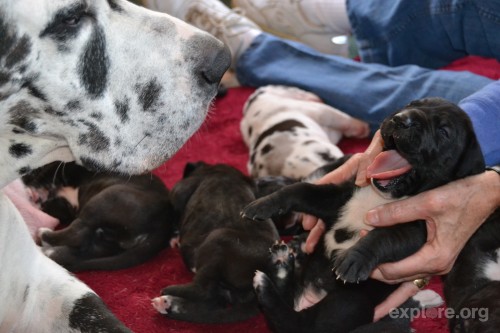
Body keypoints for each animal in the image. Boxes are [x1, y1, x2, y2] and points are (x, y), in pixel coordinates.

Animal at [22, 161, 175, 272]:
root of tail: (164, 223)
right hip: (109, 242)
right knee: (82, 251)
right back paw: (48, 252)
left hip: (105, 199)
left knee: (77, 234)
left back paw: (43, 235)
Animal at [151, 161, 282, 322]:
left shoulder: (180, 190)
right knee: (211, 306)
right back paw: (167, 304)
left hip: (218, 238)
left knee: (203, 290)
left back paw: (168, 293)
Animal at [240, 97, 486, 330]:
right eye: (412, 104)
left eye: (444, 132)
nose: (401, 119)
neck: (383, 195)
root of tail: (307, 297)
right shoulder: (336, 198)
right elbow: (300, 190)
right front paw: (262, 204)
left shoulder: (416, 230)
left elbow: (382, 237)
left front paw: (353, 259)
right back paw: (280, 264)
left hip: (350, 303)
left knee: (298, 324)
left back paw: (270, 282)